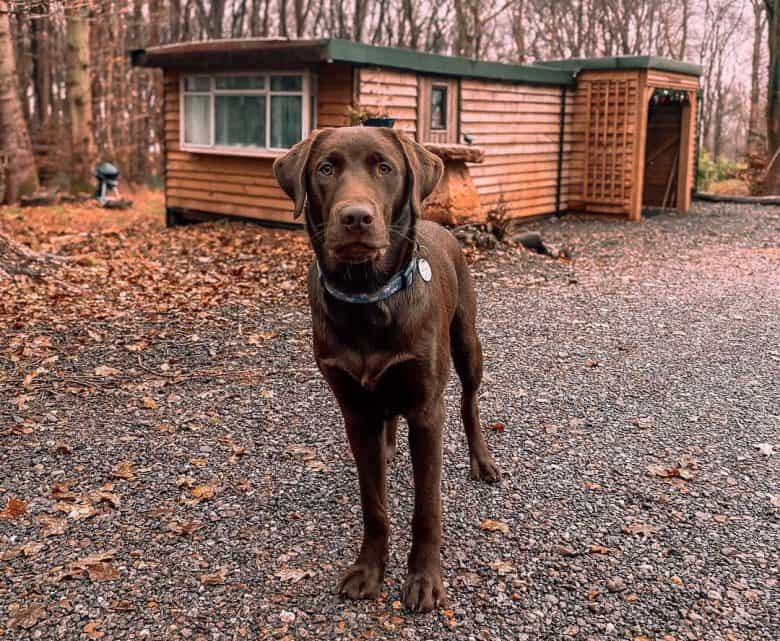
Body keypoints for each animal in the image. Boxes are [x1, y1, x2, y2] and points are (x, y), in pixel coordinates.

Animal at [272, 125, 496, 608]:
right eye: (326, 168)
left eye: (385, 168)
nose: (356, 217)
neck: (368, 298)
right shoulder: (354, 411)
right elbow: (373, 504)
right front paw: (369, 569)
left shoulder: (428, 411)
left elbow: (427, 507)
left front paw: (425, 578)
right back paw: (389, 446)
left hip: (468, 343)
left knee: (469, 402)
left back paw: (482, 460)